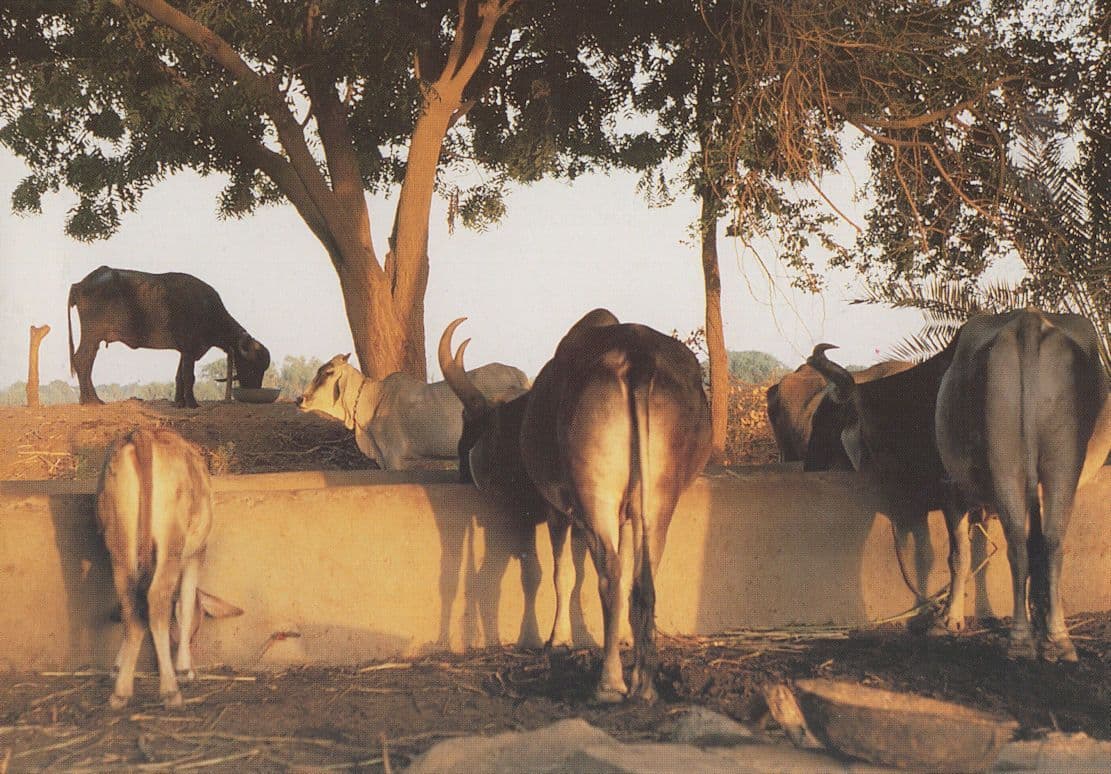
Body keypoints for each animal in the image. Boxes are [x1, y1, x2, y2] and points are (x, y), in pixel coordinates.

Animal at [68, 266, 270, 408]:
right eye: (253, 366)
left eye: (262, 369)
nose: (254, 388)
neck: (207, 309)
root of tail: (79, 284)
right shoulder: (190, 350)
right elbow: (189, 376)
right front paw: (192, 403)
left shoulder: (184, 351)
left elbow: (179, 376)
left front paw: (179, 402)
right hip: (92, 335)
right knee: (82, 359)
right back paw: (92, 400)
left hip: (94, 338)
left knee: (86, 361)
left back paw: (87, 398)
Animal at [97, 428, 221, 709]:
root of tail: (142, 433)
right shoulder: (196, 554)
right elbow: (186, 603)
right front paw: (184, 668)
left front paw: (118, 665)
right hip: (171, 542)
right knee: (157, 600)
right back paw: (170, 690)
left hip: (119, 544)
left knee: (131, 605)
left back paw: (121, 691)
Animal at [440, 310, 712, 703]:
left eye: (469, 423)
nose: (461, 469)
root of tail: (639, 357)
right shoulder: (625, 515)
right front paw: (623, 636)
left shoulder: (557, 511)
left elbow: (559, 574)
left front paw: (558, 640)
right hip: (659, 499)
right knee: (642, 578)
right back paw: (644, 684)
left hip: (595, 495)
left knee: (609, 575)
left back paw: (609, 684)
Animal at [935, 308, 1110, 661]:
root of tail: (1029, 319)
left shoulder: (951, 488)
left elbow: (959, 555)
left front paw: (950, 618)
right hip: (1063, 461)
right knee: (1052, 543)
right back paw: (1057, 638)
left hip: (1007, 463)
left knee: (1018, 543)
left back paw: (1019, 641)